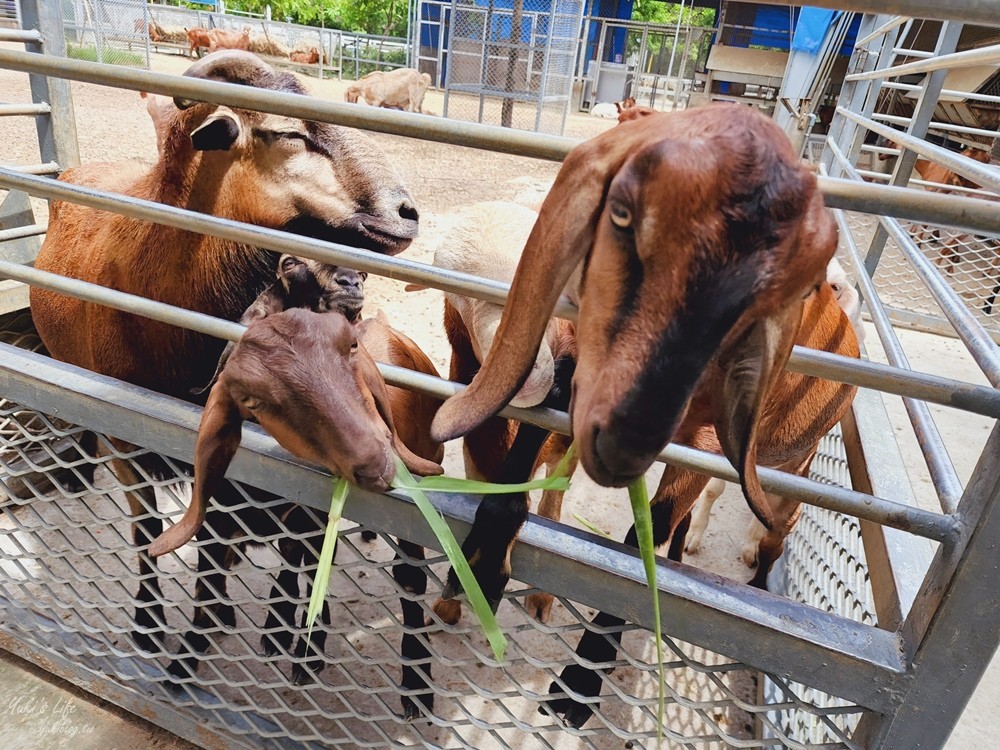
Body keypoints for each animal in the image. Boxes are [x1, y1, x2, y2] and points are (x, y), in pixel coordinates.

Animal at [31, 50, 420, 656]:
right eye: (289, 132)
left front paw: (214, 617)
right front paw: (152, 627)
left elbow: (225, 533)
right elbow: (147, 533)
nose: (407, 213)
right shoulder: (127, 436)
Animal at [426, 106, 856, 728]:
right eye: (624, 215)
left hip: (786, 483)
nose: (626, 437)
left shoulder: (698, 440)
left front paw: (577, 686)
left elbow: (637, 540)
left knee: (769, 537)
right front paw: (477, 566)